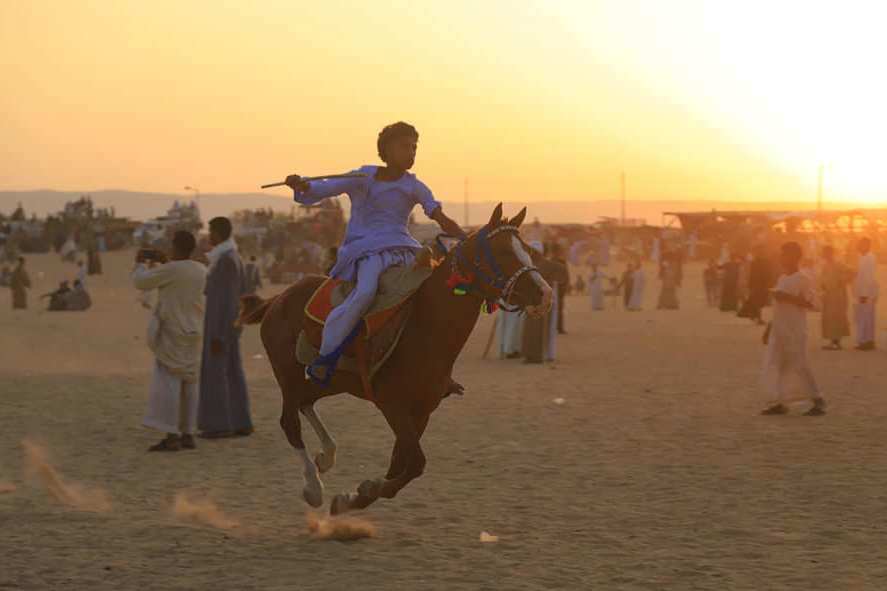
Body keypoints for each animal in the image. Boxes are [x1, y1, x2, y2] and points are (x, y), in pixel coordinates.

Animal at [239, 205, 552, 512]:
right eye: (503, 252)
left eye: (528, 249)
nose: (545, 293)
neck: (425, 328)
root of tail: (278, 299)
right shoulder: (393, 405)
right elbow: (415, 463)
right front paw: (363, 491)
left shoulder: (423, 410)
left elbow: (400, 463)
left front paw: (355, 496)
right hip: (288, 377)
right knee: (289, 422)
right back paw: (314, 487)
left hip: (325, 381)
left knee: (306, 404)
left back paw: (327, 455)